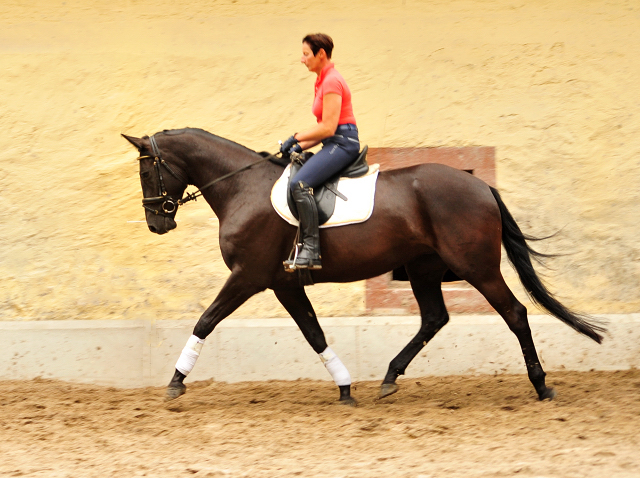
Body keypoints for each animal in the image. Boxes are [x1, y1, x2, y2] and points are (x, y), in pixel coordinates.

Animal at [124, 126, 604, 404]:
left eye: (147, 171)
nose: (156, 223)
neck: (243, 188)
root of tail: (480, 185)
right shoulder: (283, 284)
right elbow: (314, 333)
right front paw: (344, 387)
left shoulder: (248, 276)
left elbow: (205, 320)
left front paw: (175, 382)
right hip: (425, 268)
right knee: (434, 318)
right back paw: (389, 377)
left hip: (476, 267)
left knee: (515, 313)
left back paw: (541, 385)